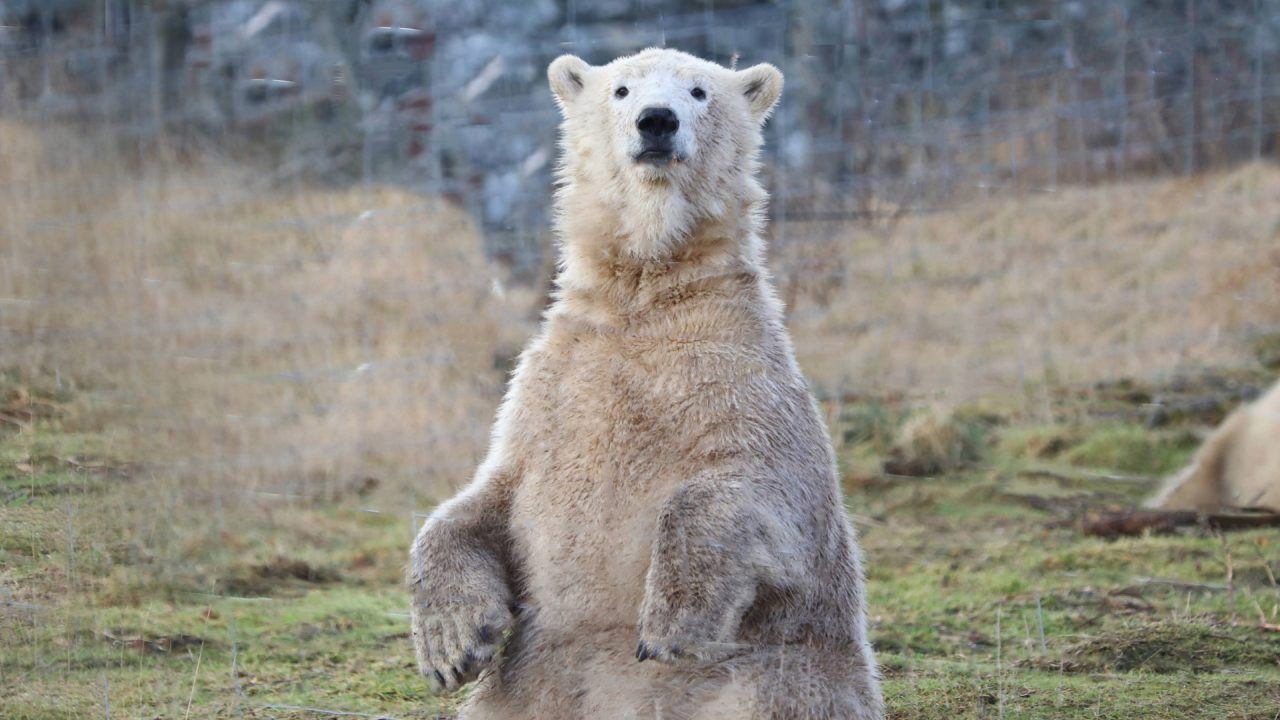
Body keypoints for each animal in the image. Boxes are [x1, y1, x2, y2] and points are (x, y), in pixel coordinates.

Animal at [408, 48, 884, 720]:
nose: (657, 121)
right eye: (621, 89)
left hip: (779, 672)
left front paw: (671, 625)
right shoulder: (548, 387)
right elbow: (485, 496)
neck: (644, 294)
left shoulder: (740, 371)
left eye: (700, 91)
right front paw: (453, 643)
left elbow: (762, 483)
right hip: (530, 685)